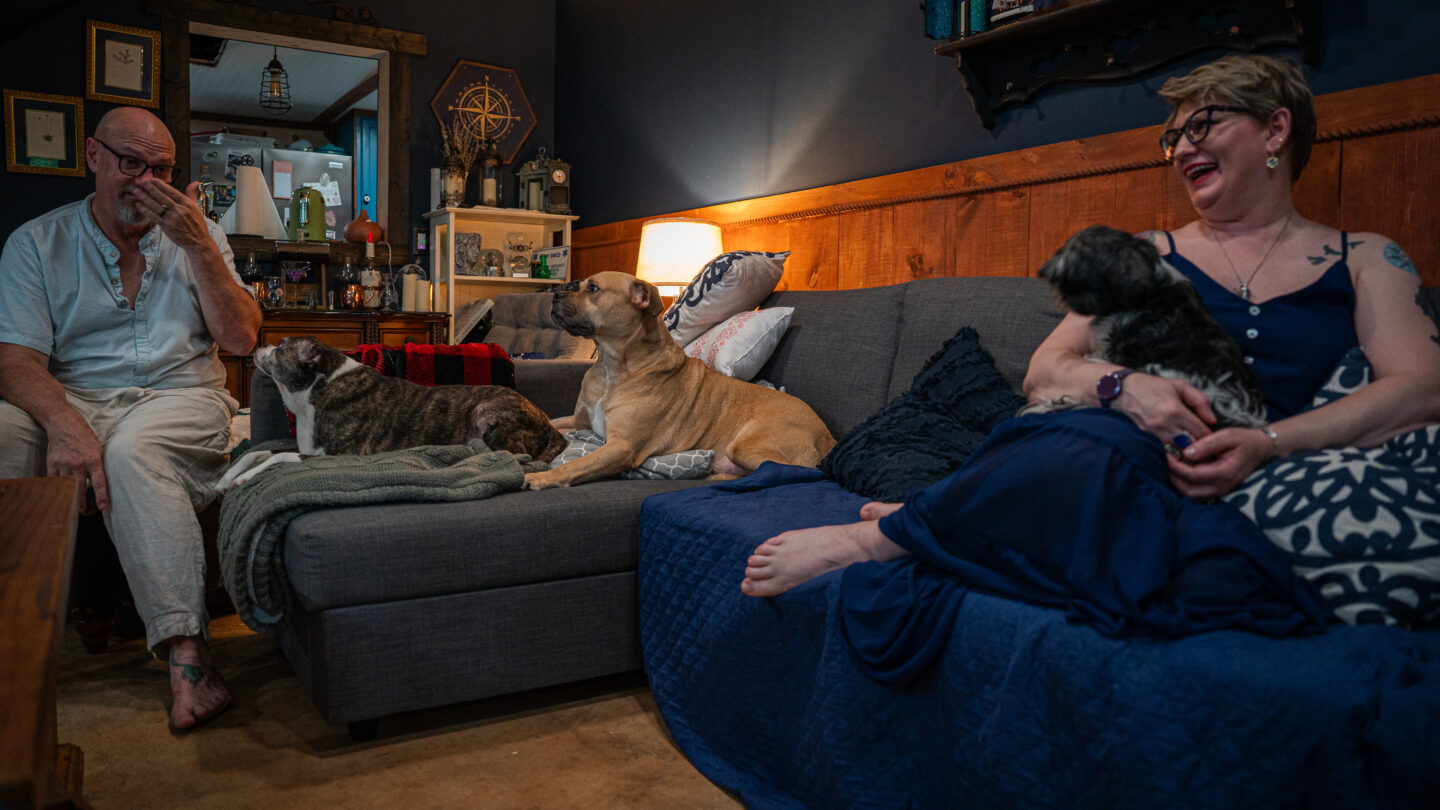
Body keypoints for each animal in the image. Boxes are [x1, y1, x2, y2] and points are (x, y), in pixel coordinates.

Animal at [524, 268, 840, 490]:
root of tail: (828, 437)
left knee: (798, 472)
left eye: (593, 288)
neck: (613, 366)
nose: (555, 294)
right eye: (577, 285)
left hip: (748, 445)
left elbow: (576, 465)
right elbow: (554, 422)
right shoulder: (579, 422)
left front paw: (540, 478)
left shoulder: (621, 447)